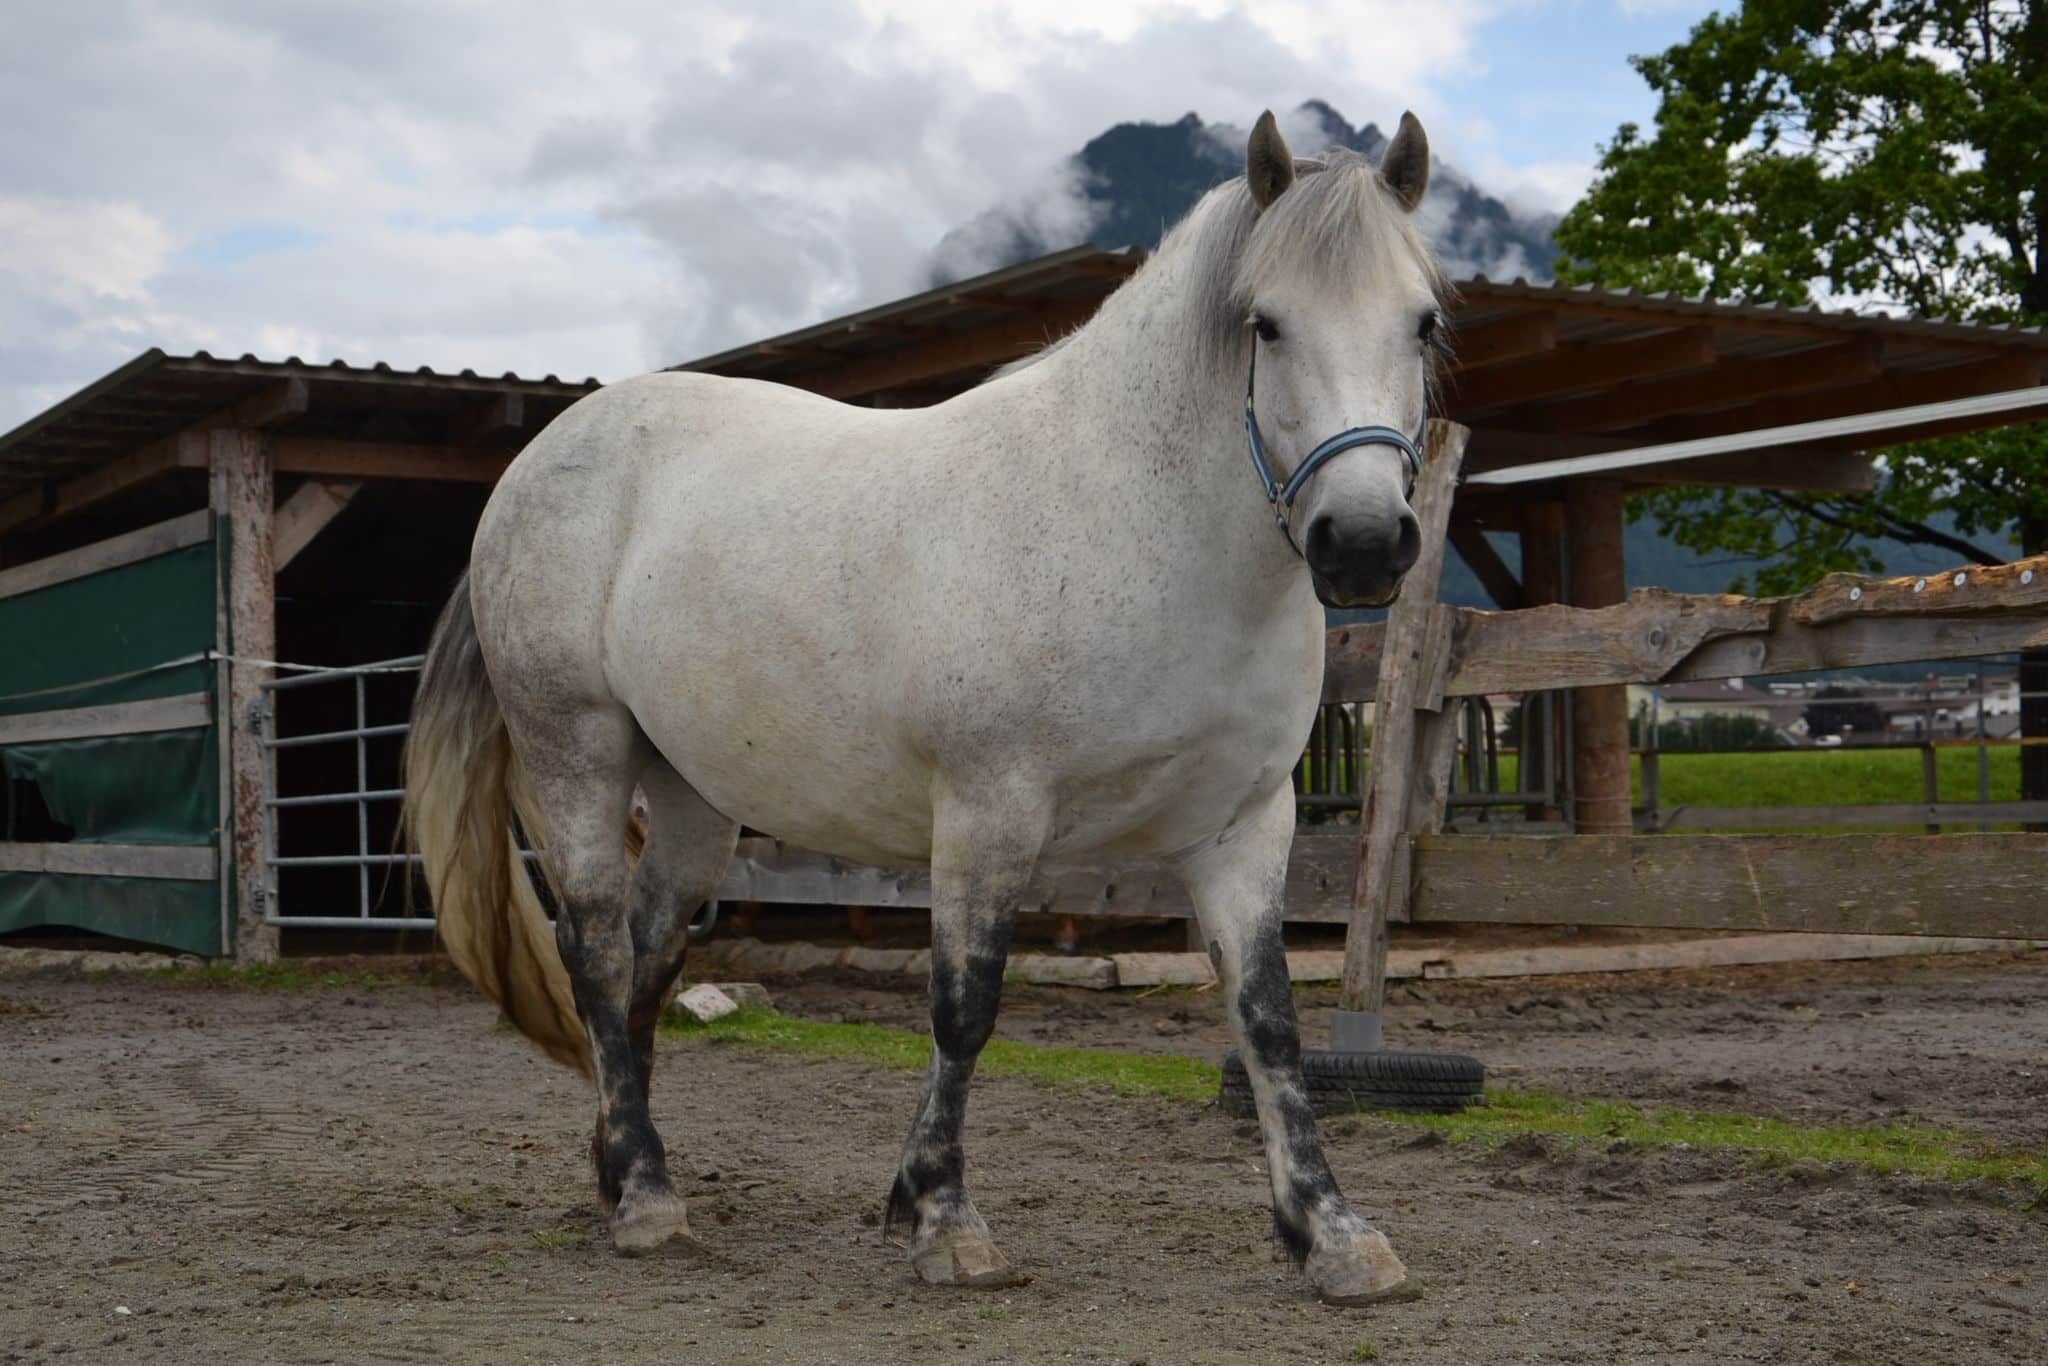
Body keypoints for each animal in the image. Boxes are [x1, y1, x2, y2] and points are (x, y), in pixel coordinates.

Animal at [404, 109, 1444, 1307]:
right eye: (1265, 325)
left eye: (1423, 322)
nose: (1361, 543)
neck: (1133, 526)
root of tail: (532, 464)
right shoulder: (989, 810)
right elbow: (964, 1004)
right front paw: (945, 1219)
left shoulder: (1244, 826)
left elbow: (1268, 1021)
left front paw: (1330, 1230)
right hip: (576, 751)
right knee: (597, 954)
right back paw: (648, 1198)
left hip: (694, 798)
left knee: (651, 954)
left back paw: (620, 1171)